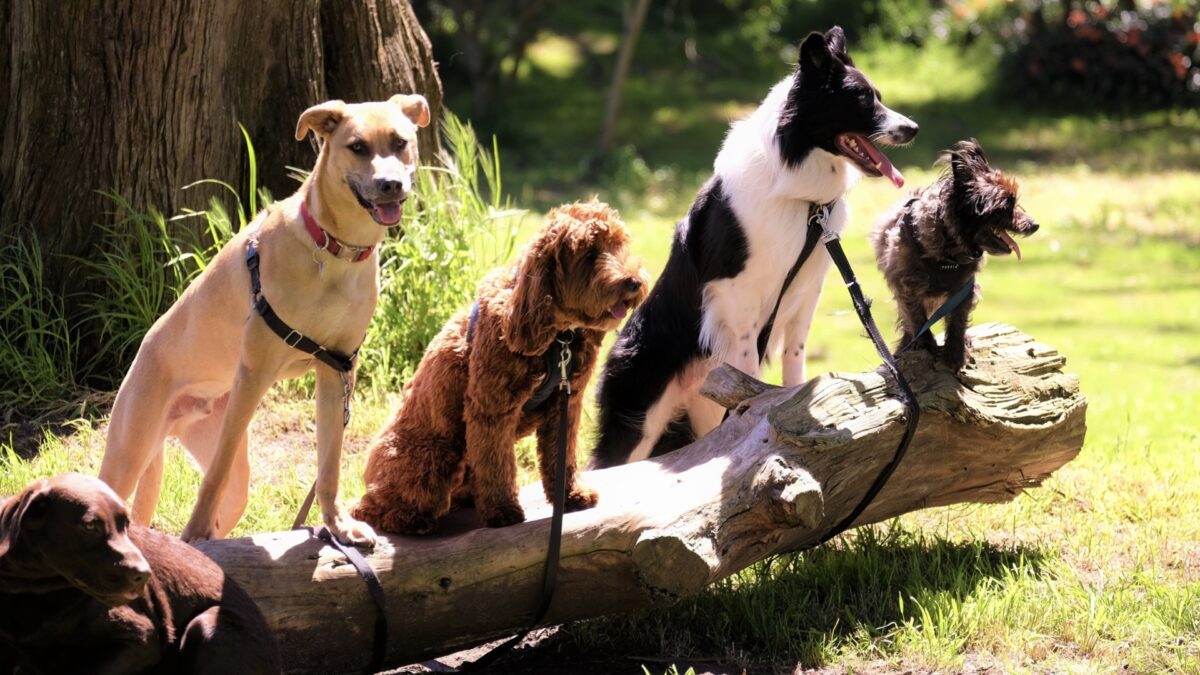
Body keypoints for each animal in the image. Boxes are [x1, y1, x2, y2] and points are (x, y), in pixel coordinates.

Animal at [100, 93, 432, 540]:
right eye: (358, 147)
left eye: (399, 142)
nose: (390, 185)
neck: (333, 250)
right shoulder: (254, 374)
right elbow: (215, 475)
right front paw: (193, 534)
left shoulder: (337, 369)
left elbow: (329, 462)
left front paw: (338, 524)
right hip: (129, 453)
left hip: (230, 474)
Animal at [352, 199, 648, 530]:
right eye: (589, 254)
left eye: (619, 245)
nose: (634, 282)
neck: (558, 336)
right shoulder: (491, 408)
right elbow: (497, 464)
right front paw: (502, 510)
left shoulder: (566, 405)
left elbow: (562, 456)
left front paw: (570, 495)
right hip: (434, 459)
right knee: (369, 509)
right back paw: (411, 519)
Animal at [590, 27, 916, 468]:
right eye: (863, 99)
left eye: (877, 96)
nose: (913, 128)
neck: (801, 197)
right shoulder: (736, 292)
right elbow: (747, 363)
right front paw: (753, 401)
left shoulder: (806, 289)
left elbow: (795, 356)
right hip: (640, 417)